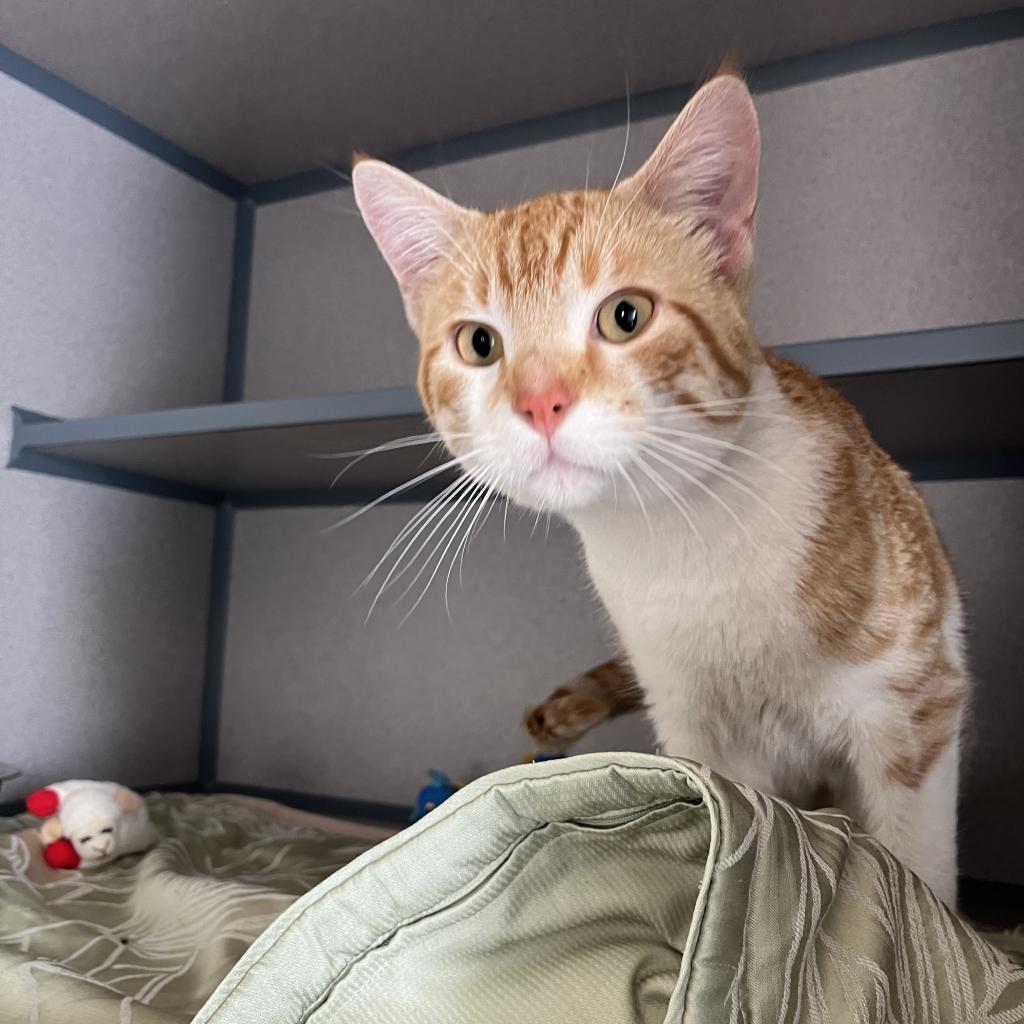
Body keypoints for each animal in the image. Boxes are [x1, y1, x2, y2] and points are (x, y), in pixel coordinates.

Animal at [352, 70, 966, 905]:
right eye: (479, 343)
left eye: (625, 316)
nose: (540, 402)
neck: (680, 540)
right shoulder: (707, 739)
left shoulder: (913, 709)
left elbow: (913, 864)